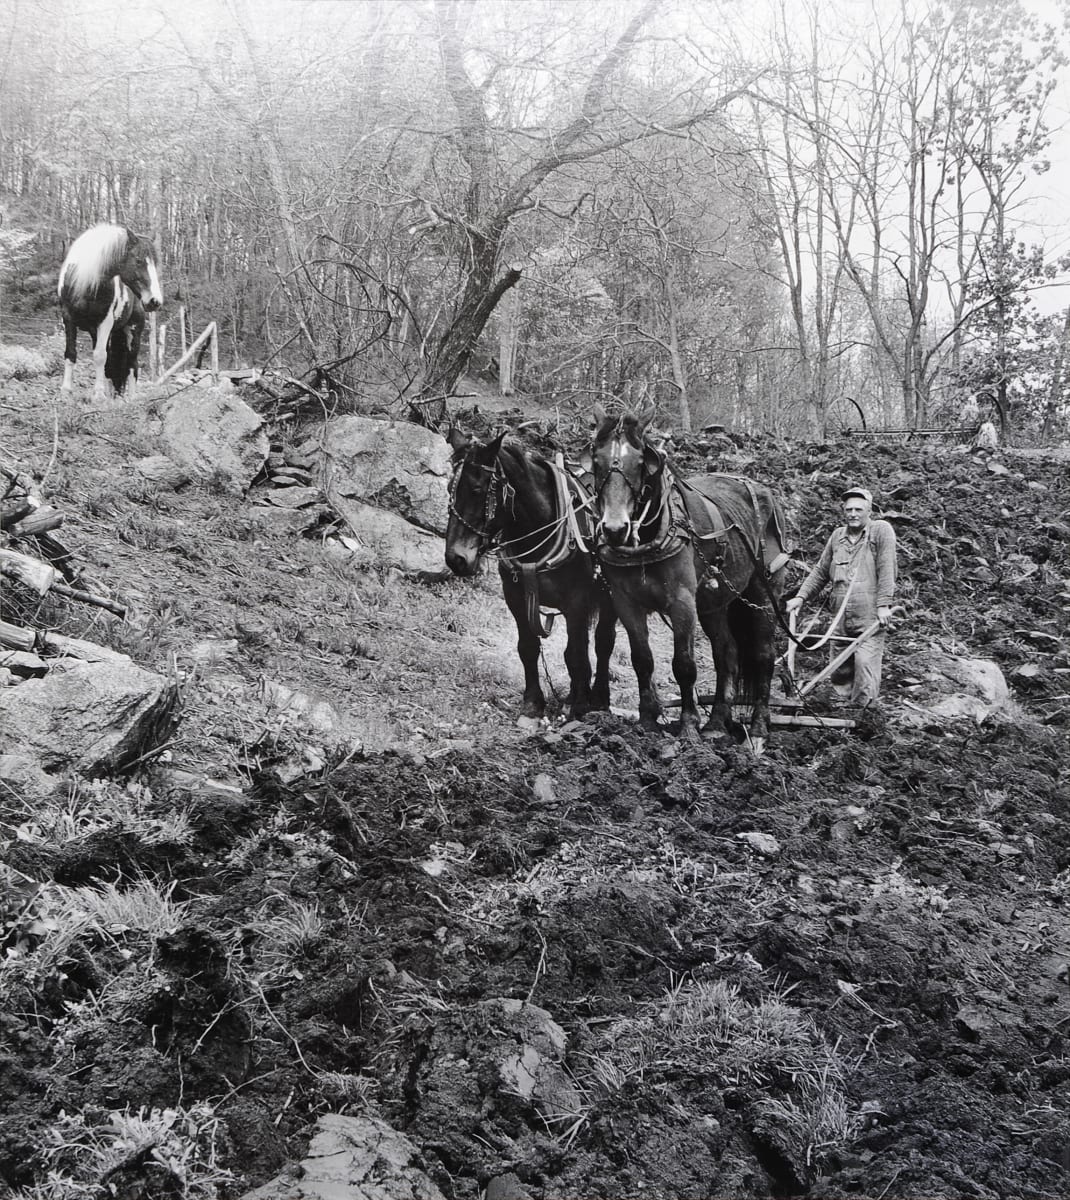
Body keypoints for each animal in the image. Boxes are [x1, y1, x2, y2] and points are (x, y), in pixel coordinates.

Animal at [58, 220, 163, 398]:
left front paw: (99, 394)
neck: (84, 283)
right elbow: (71, 353)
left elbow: (100, 356)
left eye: (155, 263)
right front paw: (66, 390)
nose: (155, 301)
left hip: (133, 331)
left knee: (132, 364)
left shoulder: (105, 322)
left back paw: (131, 397)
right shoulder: (68, 319)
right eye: (138, 261)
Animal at [443, 429, 614, 720]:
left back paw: (599, 696)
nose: (456, 559)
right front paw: (534, 702)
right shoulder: (515, 596)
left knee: (604, 642)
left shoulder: (577, 602)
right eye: (449, 489)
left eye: (477, 489)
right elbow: (528, 647)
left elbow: (576, 654)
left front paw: (579, 706)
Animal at [590, 400, 791, 748]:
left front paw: (687, 726)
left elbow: (683, 663)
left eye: (640, 461)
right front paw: (648, 722)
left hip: (762, 594)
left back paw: (758, 728)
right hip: (715, 603)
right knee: (727, 653)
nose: (615, 530)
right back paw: (717, 723)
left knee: (763, 655)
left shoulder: (682, 601)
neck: (649, 536)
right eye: (596, 460)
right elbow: (642, 659)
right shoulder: (626, 602)